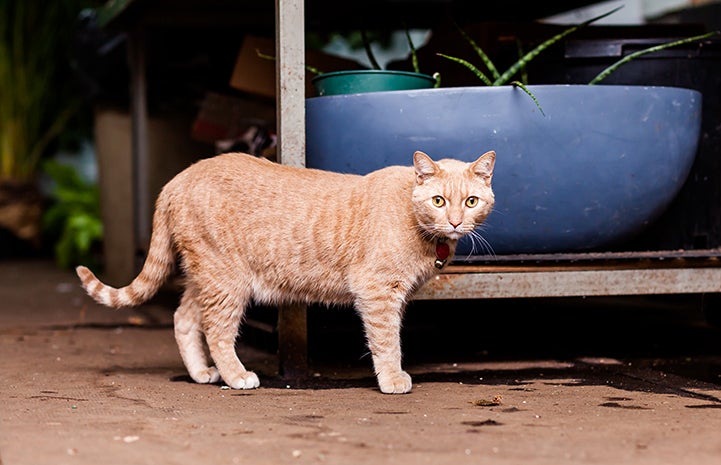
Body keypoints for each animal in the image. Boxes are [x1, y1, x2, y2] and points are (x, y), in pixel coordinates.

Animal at [77, 150, 496, 394]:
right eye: (438, 201)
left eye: (471, 201)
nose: (455, 222)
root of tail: (177, 179)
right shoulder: (377, 293)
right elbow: (386, 342)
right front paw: (392, 379)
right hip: (226, 281)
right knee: (217, 332)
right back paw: (236, 376)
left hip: (206, 278)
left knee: (184, 319)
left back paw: (201, 373)